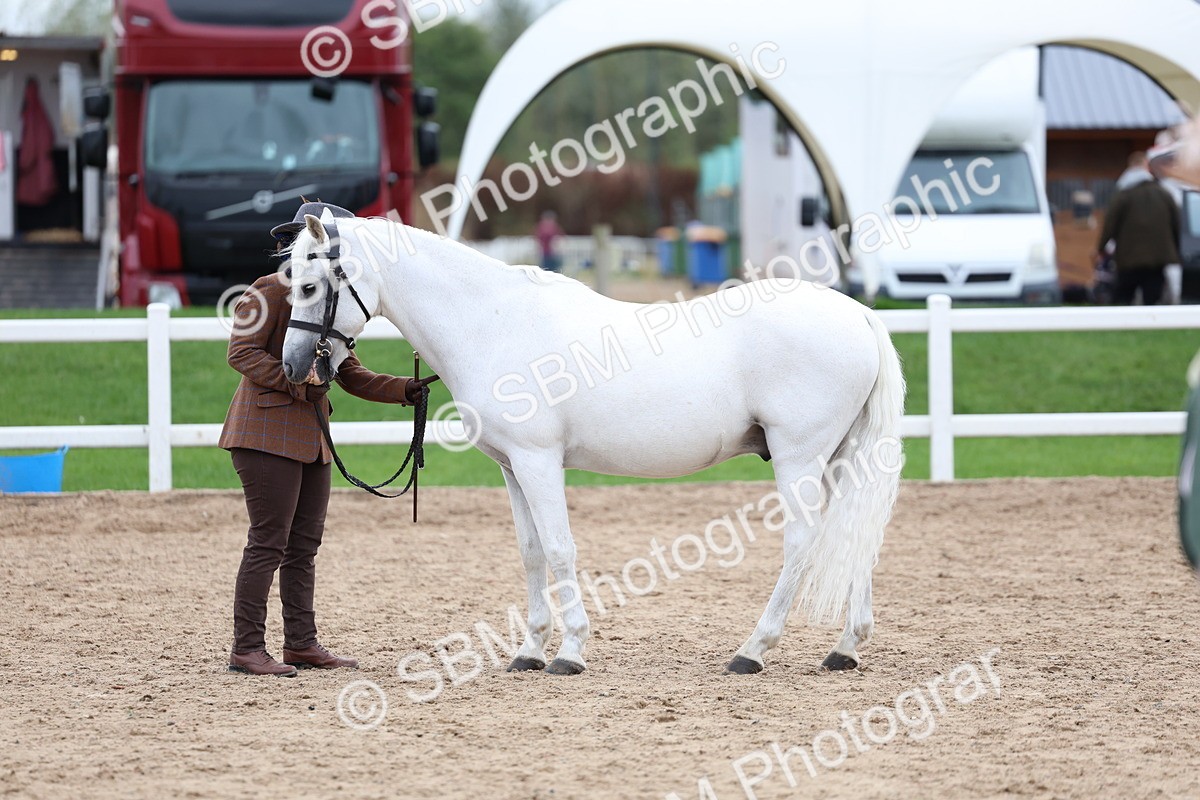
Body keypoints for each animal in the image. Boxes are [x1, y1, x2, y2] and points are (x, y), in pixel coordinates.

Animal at [280, 212, 905, 676]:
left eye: (309, 285)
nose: (293, 367)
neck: (494, 323)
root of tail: (859, 314)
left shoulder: (538, 461)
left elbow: (560, 550)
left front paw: (570, 652)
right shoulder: (512, 468)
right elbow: (531, 552)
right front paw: (529, 651)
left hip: (799, 456)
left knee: (802, 542)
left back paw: (752, 650)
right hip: (840, 459)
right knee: (856, 536)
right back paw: (845, 648)